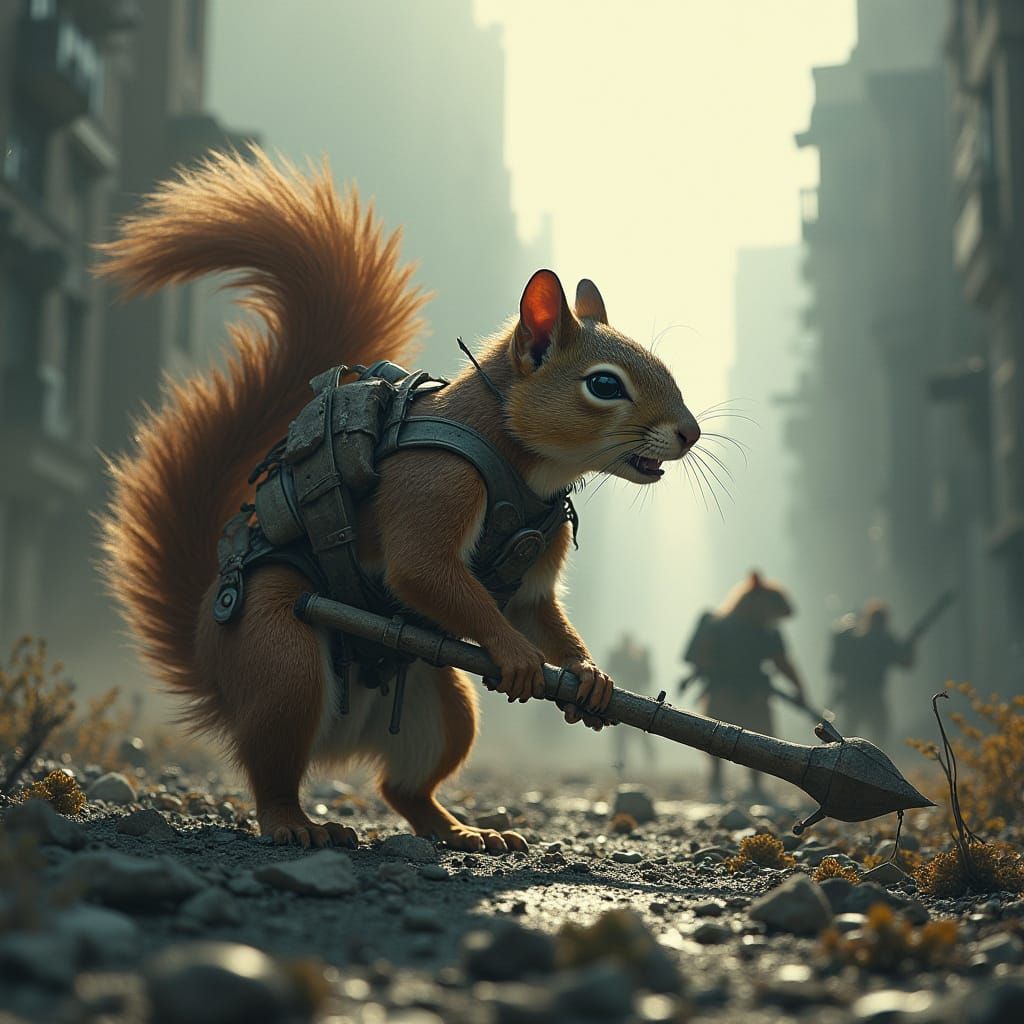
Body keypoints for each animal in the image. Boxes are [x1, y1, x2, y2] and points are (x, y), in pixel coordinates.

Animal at [98, 148, 700, 853]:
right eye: (604, 385)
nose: (690, 432)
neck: (524, 466)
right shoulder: (434, 482)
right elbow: (424, 571)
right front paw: (517, 656)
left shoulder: (537, 561)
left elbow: (538, 611)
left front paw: (591, 673)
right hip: (280, 659)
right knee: (273, 769)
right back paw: (295, 823)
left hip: (444, 704)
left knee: (402, 789)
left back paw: (464, 830)